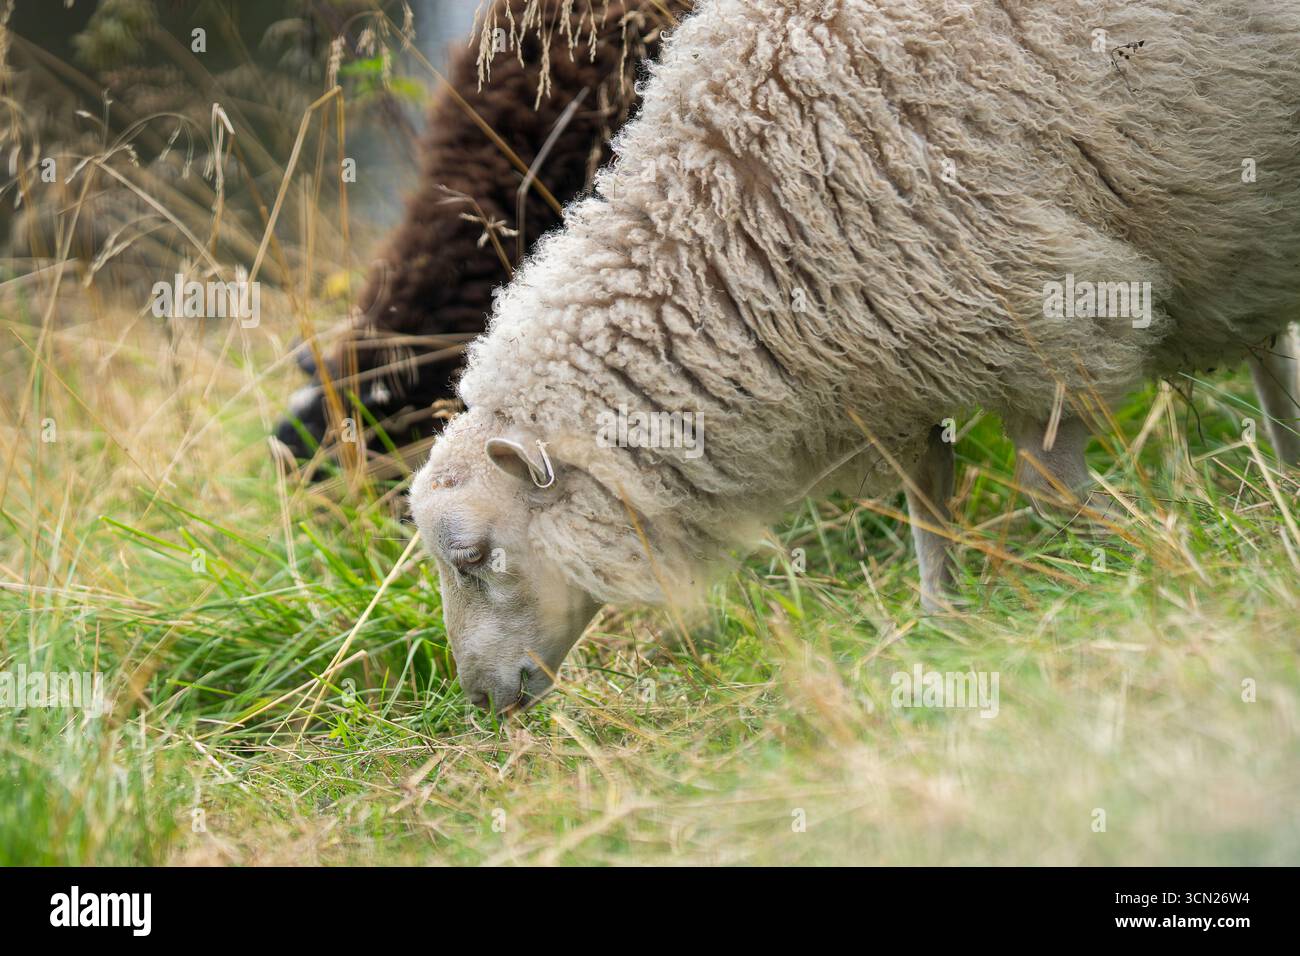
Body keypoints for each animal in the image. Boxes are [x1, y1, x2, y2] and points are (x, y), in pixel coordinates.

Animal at [409, 0, 1300, 713]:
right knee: (1272, 349)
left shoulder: (1041, 312)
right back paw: (1288, 471)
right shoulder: (895, 364)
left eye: (473, 557)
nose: (480, 698)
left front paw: (1138, 550)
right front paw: (945, 619)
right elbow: (928, 493)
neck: (732, 231)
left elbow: (1049, 482)